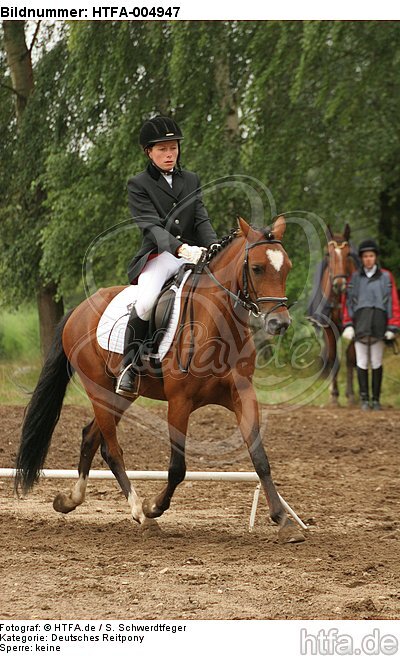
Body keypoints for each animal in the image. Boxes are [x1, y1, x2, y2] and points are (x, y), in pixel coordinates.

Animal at [15, 215, 305, 543]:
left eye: (287, 267)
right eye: (256, 268)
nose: (279, 323)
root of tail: (79, 309)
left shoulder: (242, 393)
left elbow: (260, 458)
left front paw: (284, 521)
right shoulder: (179, 401)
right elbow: (177, 467)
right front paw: (153, 507)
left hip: (120, 395)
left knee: (90, 437)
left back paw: (70, 500)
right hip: (99, 390)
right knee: (111, 449)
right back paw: (140, 513)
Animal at [307, 224, 359, 405]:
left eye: (348, 253)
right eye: (329, 254)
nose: (339, 283)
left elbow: (351, 358)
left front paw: (350, 394)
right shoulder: (328, 326)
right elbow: (332, 355)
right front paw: (334, 394)